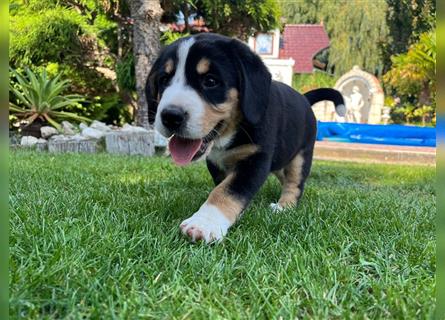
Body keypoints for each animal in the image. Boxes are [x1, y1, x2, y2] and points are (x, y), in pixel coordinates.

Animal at [146, 33, 344, 242]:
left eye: (210, 81)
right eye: (164, 80)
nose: (170, 116)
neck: (229, 134)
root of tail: (304, 98)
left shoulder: (255, 159)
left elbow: (227, 191)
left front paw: (204, 223)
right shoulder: (216, 162)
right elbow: (224, 186)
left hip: (302, 155)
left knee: (294, 183)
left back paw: (283, 207)